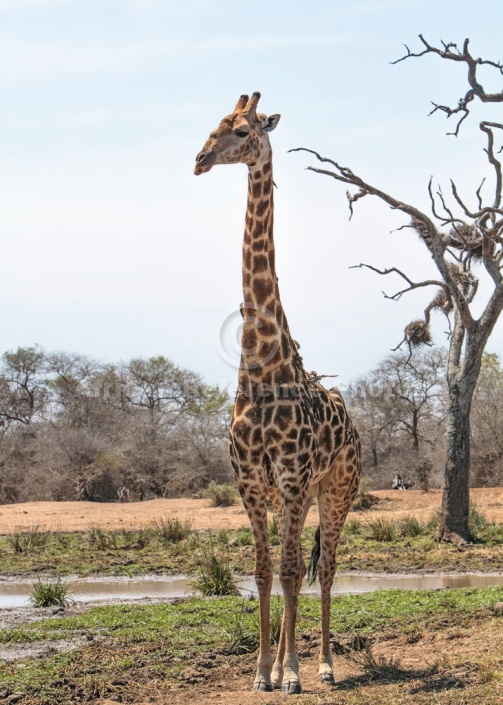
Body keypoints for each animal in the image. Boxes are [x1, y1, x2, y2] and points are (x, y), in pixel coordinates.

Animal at [194, 92, 362, 692]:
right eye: (214, 126)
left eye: (243, 130)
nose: (199, 160)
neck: (261, 367)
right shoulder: (252, 485)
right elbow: (266, 573)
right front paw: (262, 671)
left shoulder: (289, 480)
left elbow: (292, 573)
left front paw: (291, 673)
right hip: (303, 496)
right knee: (296, 568)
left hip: (337, 491)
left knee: (327, 569)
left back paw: (325, 665)